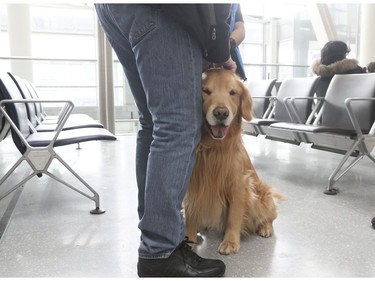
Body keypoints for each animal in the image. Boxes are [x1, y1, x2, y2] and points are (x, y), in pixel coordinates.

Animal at [184, 68, 284, 254]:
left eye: (233, 92)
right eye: (206, 91)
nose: (221, 113)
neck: (214, 148)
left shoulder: (239, 186)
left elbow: (234, 216)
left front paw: (230, 242)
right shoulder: (194, 184)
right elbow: (190, 213)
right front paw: (188, 238)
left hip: (264, 197)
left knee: (269, 217)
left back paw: (265, 228)